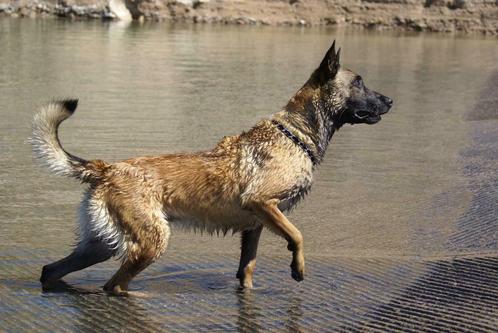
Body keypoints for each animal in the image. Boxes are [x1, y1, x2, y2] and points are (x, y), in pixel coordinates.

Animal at [31, 40, 392, 294]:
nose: (390, 101)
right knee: (114, 285)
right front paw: (297, 267)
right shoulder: (262, 203)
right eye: (359, 82)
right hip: (151, 241)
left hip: (100, 245)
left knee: (52, 270)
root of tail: (107, 169)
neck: (295, 134)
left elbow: (247, 269)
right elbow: (298, 235)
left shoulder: (255, 225)